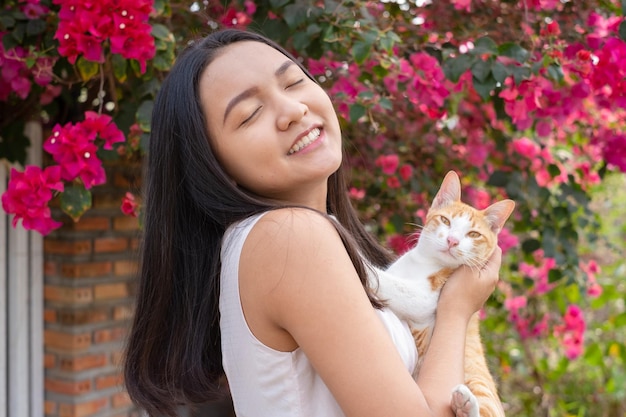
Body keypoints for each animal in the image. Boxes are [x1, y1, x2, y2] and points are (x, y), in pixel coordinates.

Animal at [368, 170, 510, 416]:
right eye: (446, 220)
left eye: (473, 234)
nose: (452, 240)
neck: (424, 262)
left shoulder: (425, 297)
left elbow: (389, 282)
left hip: (480, 386)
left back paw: (465, 404)